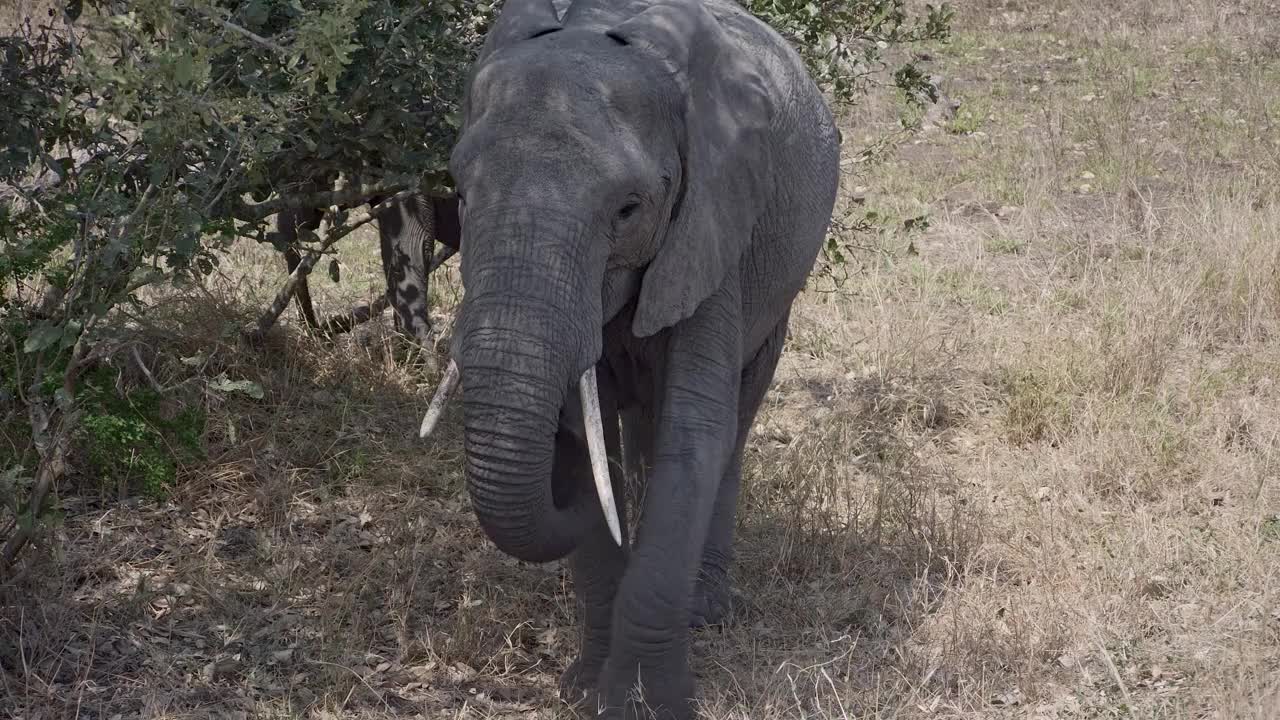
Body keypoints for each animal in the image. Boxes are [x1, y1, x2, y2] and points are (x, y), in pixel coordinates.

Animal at [417, 0, 839, 712]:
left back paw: (704, 611)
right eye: (461, 193)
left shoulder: (711, 227)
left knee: (733, 421)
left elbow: (694, 435)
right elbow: (579, 436)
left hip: (778, 284)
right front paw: (587, 687)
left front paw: (644, 704)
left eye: (628, 209)